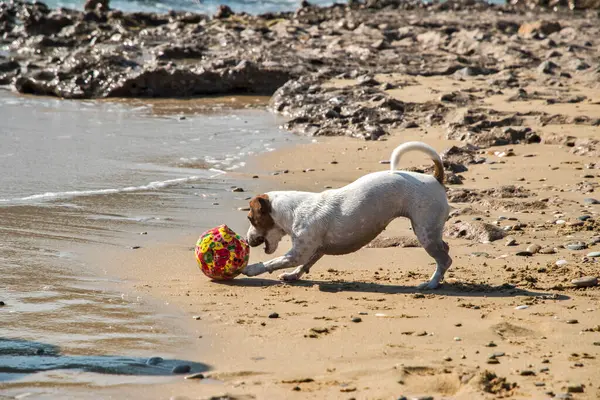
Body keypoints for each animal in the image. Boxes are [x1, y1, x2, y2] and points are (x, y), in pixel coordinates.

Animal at [241, 142, 452, 290]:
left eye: (251, 219)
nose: (246, 240)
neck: (293, 210)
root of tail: (435, 178)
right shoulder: (315, 250)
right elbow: (305, 265)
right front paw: (292, 275)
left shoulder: (298, 253)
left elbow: (272, 262)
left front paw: (250, 269)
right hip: (431, 231)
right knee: (445, 250)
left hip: (424, 232)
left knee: (445, 260)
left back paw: (431, 283)